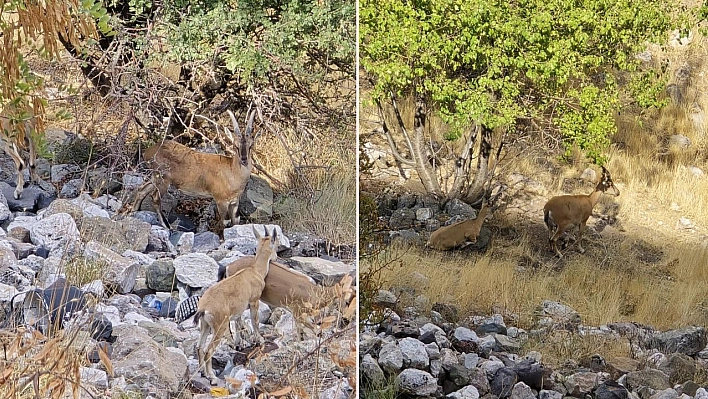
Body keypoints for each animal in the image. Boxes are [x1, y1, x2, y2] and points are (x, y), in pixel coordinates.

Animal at [194, 225, 276, 384]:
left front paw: (240, 344)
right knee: (208, 350)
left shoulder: (239, 310)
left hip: (205, 325)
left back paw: (203, 373)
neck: (256, 271)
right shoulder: (254, 301)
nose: (275, 258)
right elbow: (255, 321)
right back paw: (212, 377)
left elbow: (239, 323)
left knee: (199, 347)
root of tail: (204, 308)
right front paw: (260, 340)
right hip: (219, 327)